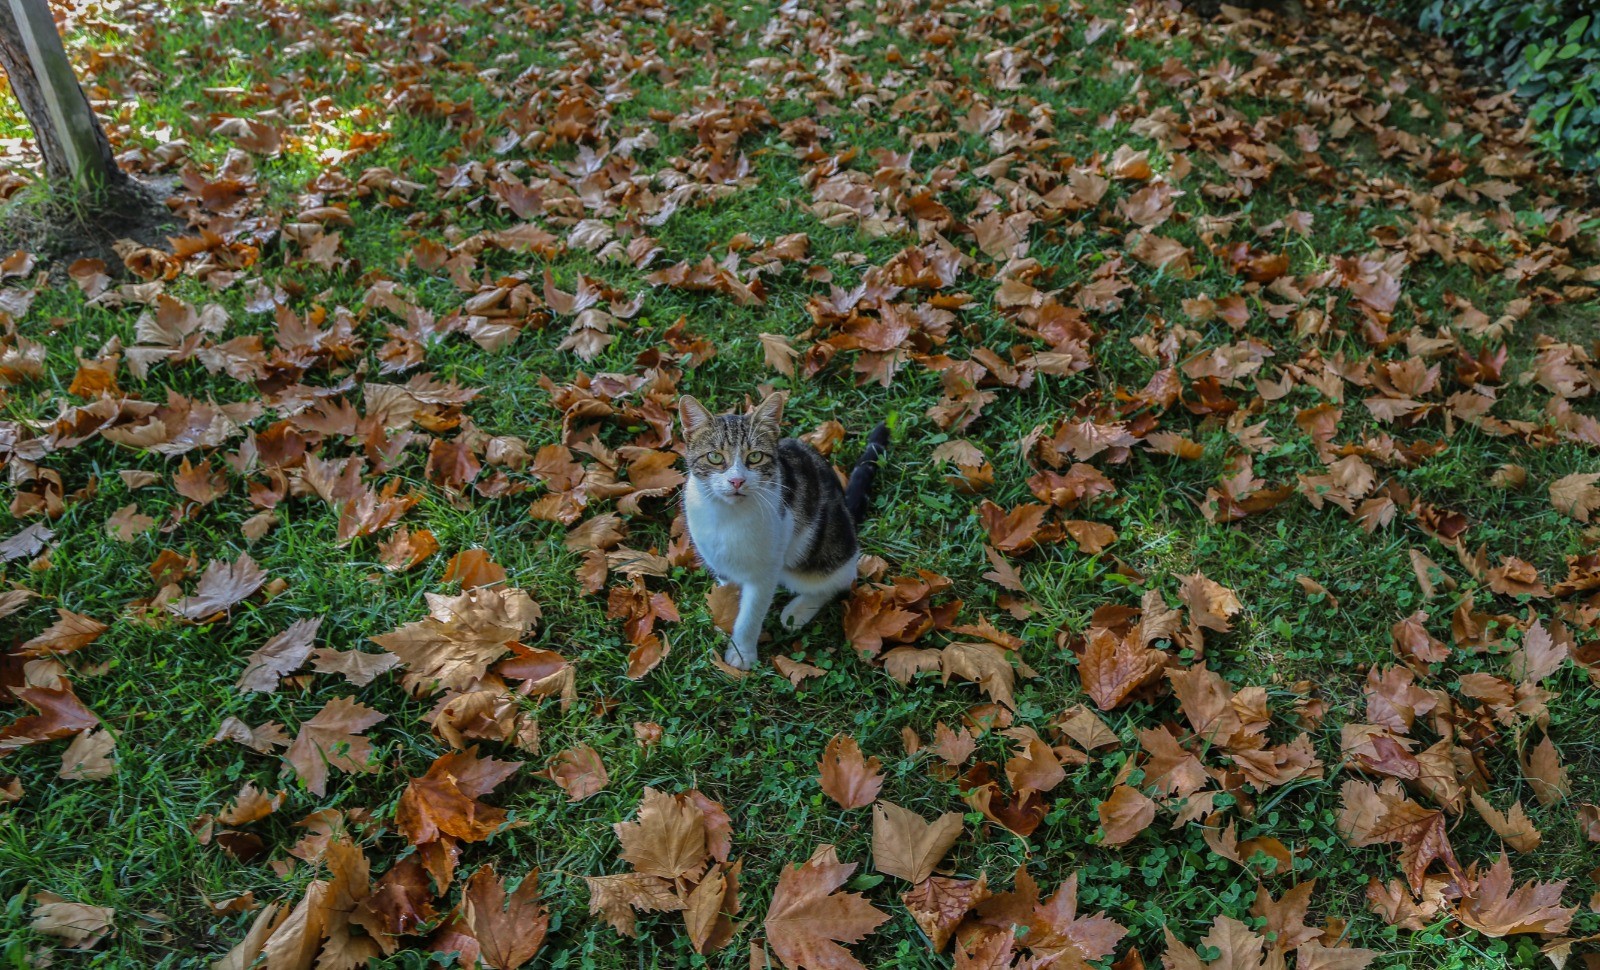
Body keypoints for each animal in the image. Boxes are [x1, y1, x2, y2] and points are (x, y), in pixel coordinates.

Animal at [675, 392, 889, 672]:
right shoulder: (717, 558)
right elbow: (729, 590)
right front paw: (725, 614)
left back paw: (798, 610)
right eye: (714, 457)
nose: (736, 481)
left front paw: (742, 653)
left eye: (755, 457)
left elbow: (750, 615)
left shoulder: (766, 571)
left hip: (823, 552)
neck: (727, 516)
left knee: (838, 580)